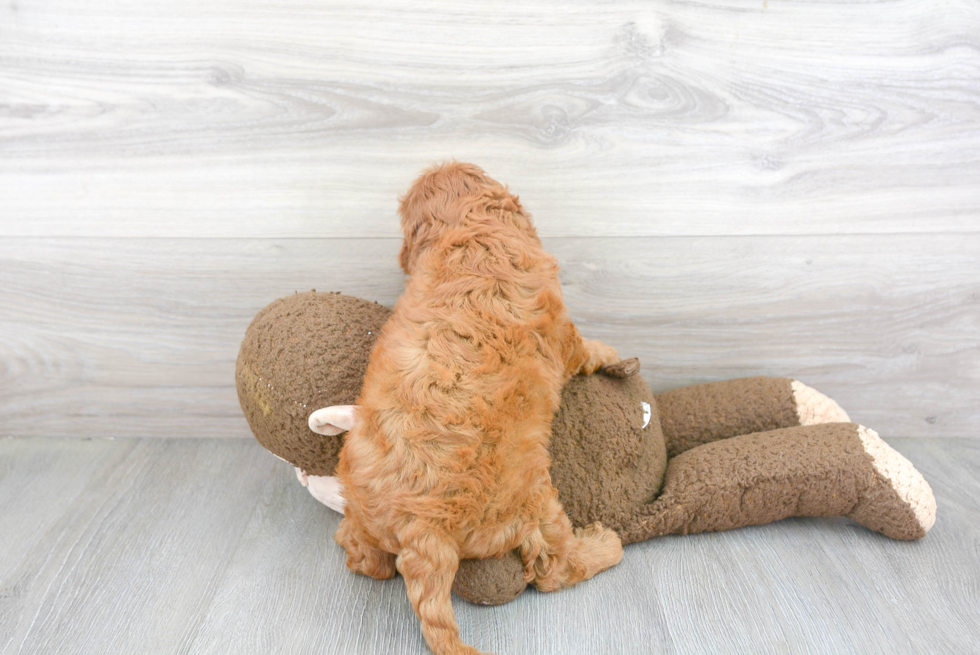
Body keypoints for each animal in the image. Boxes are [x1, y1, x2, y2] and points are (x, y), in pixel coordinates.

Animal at [334, 163, 624, 655]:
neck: (471, 229)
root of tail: (422, 528)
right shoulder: (564, 334)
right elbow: (586, 349)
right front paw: (614, 354)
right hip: (532, 502)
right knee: (555, 567)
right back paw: (605, 546)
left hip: (358, 487)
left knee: (368, 559)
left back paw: (348, 542)